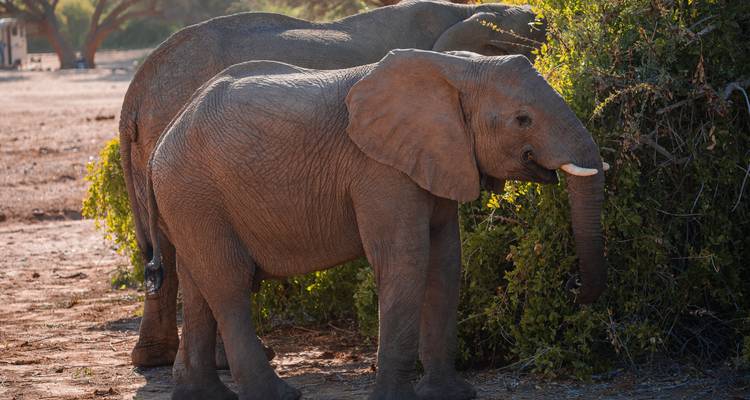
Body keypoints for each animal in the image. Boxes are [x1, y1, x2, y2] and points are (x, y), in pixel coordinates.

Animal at [143, 49, 607, 400]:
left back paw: (203, 396)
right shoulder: (380, 170)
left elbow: (445, 262)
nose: (572, 286)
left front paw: (451, 395)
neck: (454, 70)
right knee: (229, 285)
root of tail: (163, 137)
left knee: (198, 286)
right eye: (523, 119)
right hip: (194, 192)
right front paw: (397, 398)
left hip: (190, 201)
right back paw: (277, 396)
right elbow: (406, 260)